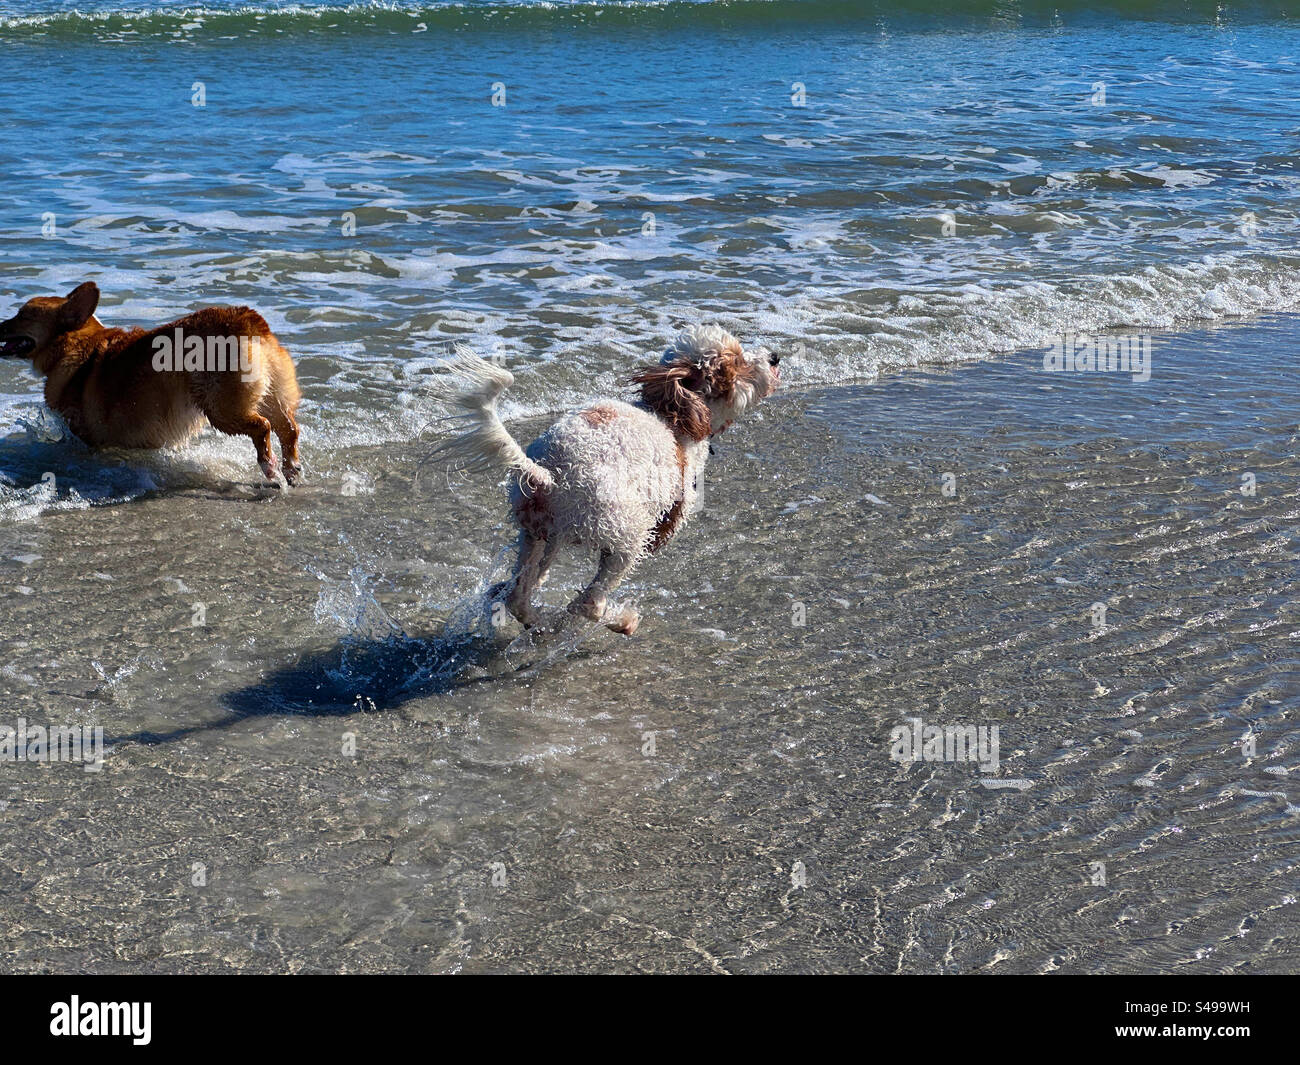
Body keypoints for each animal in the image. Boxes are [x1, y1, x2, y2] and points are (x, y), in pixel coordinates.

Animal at [0, 283, 299, 483]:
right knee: (288, 428)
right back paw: (291, 469)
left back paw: (269, 468)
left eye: (23, 315)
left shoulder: (83, 436)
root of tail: (248, 320)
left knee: (263, 427)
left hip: (221, 409)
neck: (77, 343)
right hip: (271, 396)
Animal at [431, 325, 780, 637]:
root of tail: (548, 474)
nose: (775, 357)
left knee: (519, 592)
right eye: (737, 363)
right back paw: (621, 621)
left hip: (535, 532)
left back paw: (534, 616)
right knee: (589, 603)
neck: (670, 416)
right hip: (626, 536)